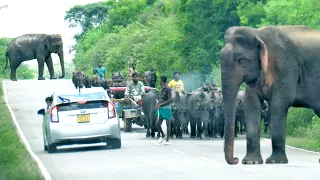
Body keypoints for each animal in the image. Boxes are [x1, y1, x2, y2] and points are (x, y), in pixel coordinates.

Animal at [220, 25, 320, 165]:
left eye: (241, 60)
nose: (236, 159)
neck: (258, 34)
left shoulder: (286, 67)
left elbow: (279, 104)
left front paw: (275, 161)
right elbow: (251, 105)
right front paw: (251, 162)